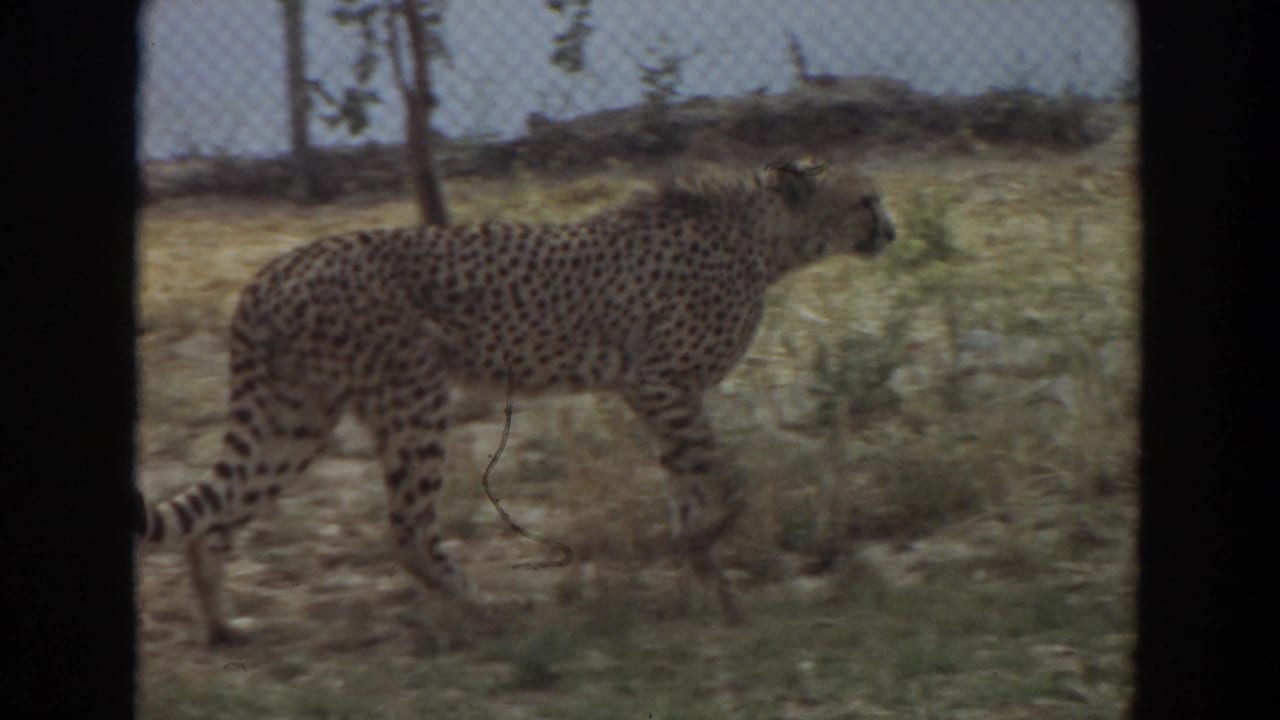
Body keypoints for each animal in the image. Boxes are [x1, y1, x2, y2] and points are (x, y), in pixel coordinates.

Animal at [135, 160, 896, 645]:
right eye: (866, 199)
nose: (892, 231)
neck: (762, 237)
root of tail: (269, 271)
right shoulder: (660, 383)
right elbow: (731, 482)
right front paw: (709, 555)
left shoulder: (660, 395)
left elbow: (688, 488)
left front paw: (712, 585)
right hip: (413, 399)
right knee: (407, 531)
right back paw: (488, 611)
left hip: (296, 414)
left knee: (216, 520)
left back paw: (222, 626)